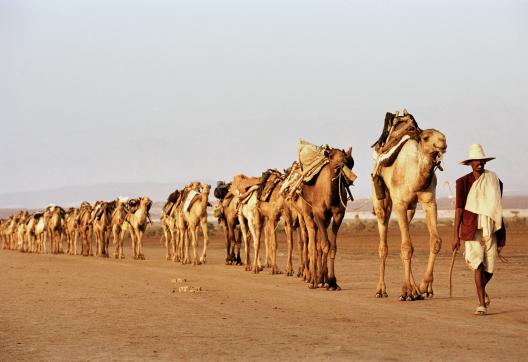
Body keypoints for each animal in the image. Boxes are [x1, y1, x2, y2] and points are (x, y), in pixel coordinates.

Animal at [302, 146, 354, 290]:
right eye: (331, 156)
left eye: (344, 155)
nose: (343, 161)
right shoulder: (319, 214)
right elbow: (324, 245)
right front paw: (318, 281)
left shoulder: (338, 215)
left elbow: (331, 246)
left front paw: (332, 282)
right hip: (307, 214)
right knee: (312, 245)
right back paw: (312, 280)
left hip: (325, 220)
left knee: (319, 245)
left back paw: (322, 279)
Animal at [372, 117, 446, 302]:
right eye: (426, 137)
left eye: (442, 134)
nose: (443, 142)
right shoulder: (399, 203)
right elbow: (406, 247)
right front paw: (406, 291)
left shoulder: (429, 202)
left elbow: (435, 241)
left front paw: (424, 287)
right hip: (381, 203)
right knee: (383, 245)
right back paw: (381, 290)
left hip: (410, 210)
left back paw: (416, 291)